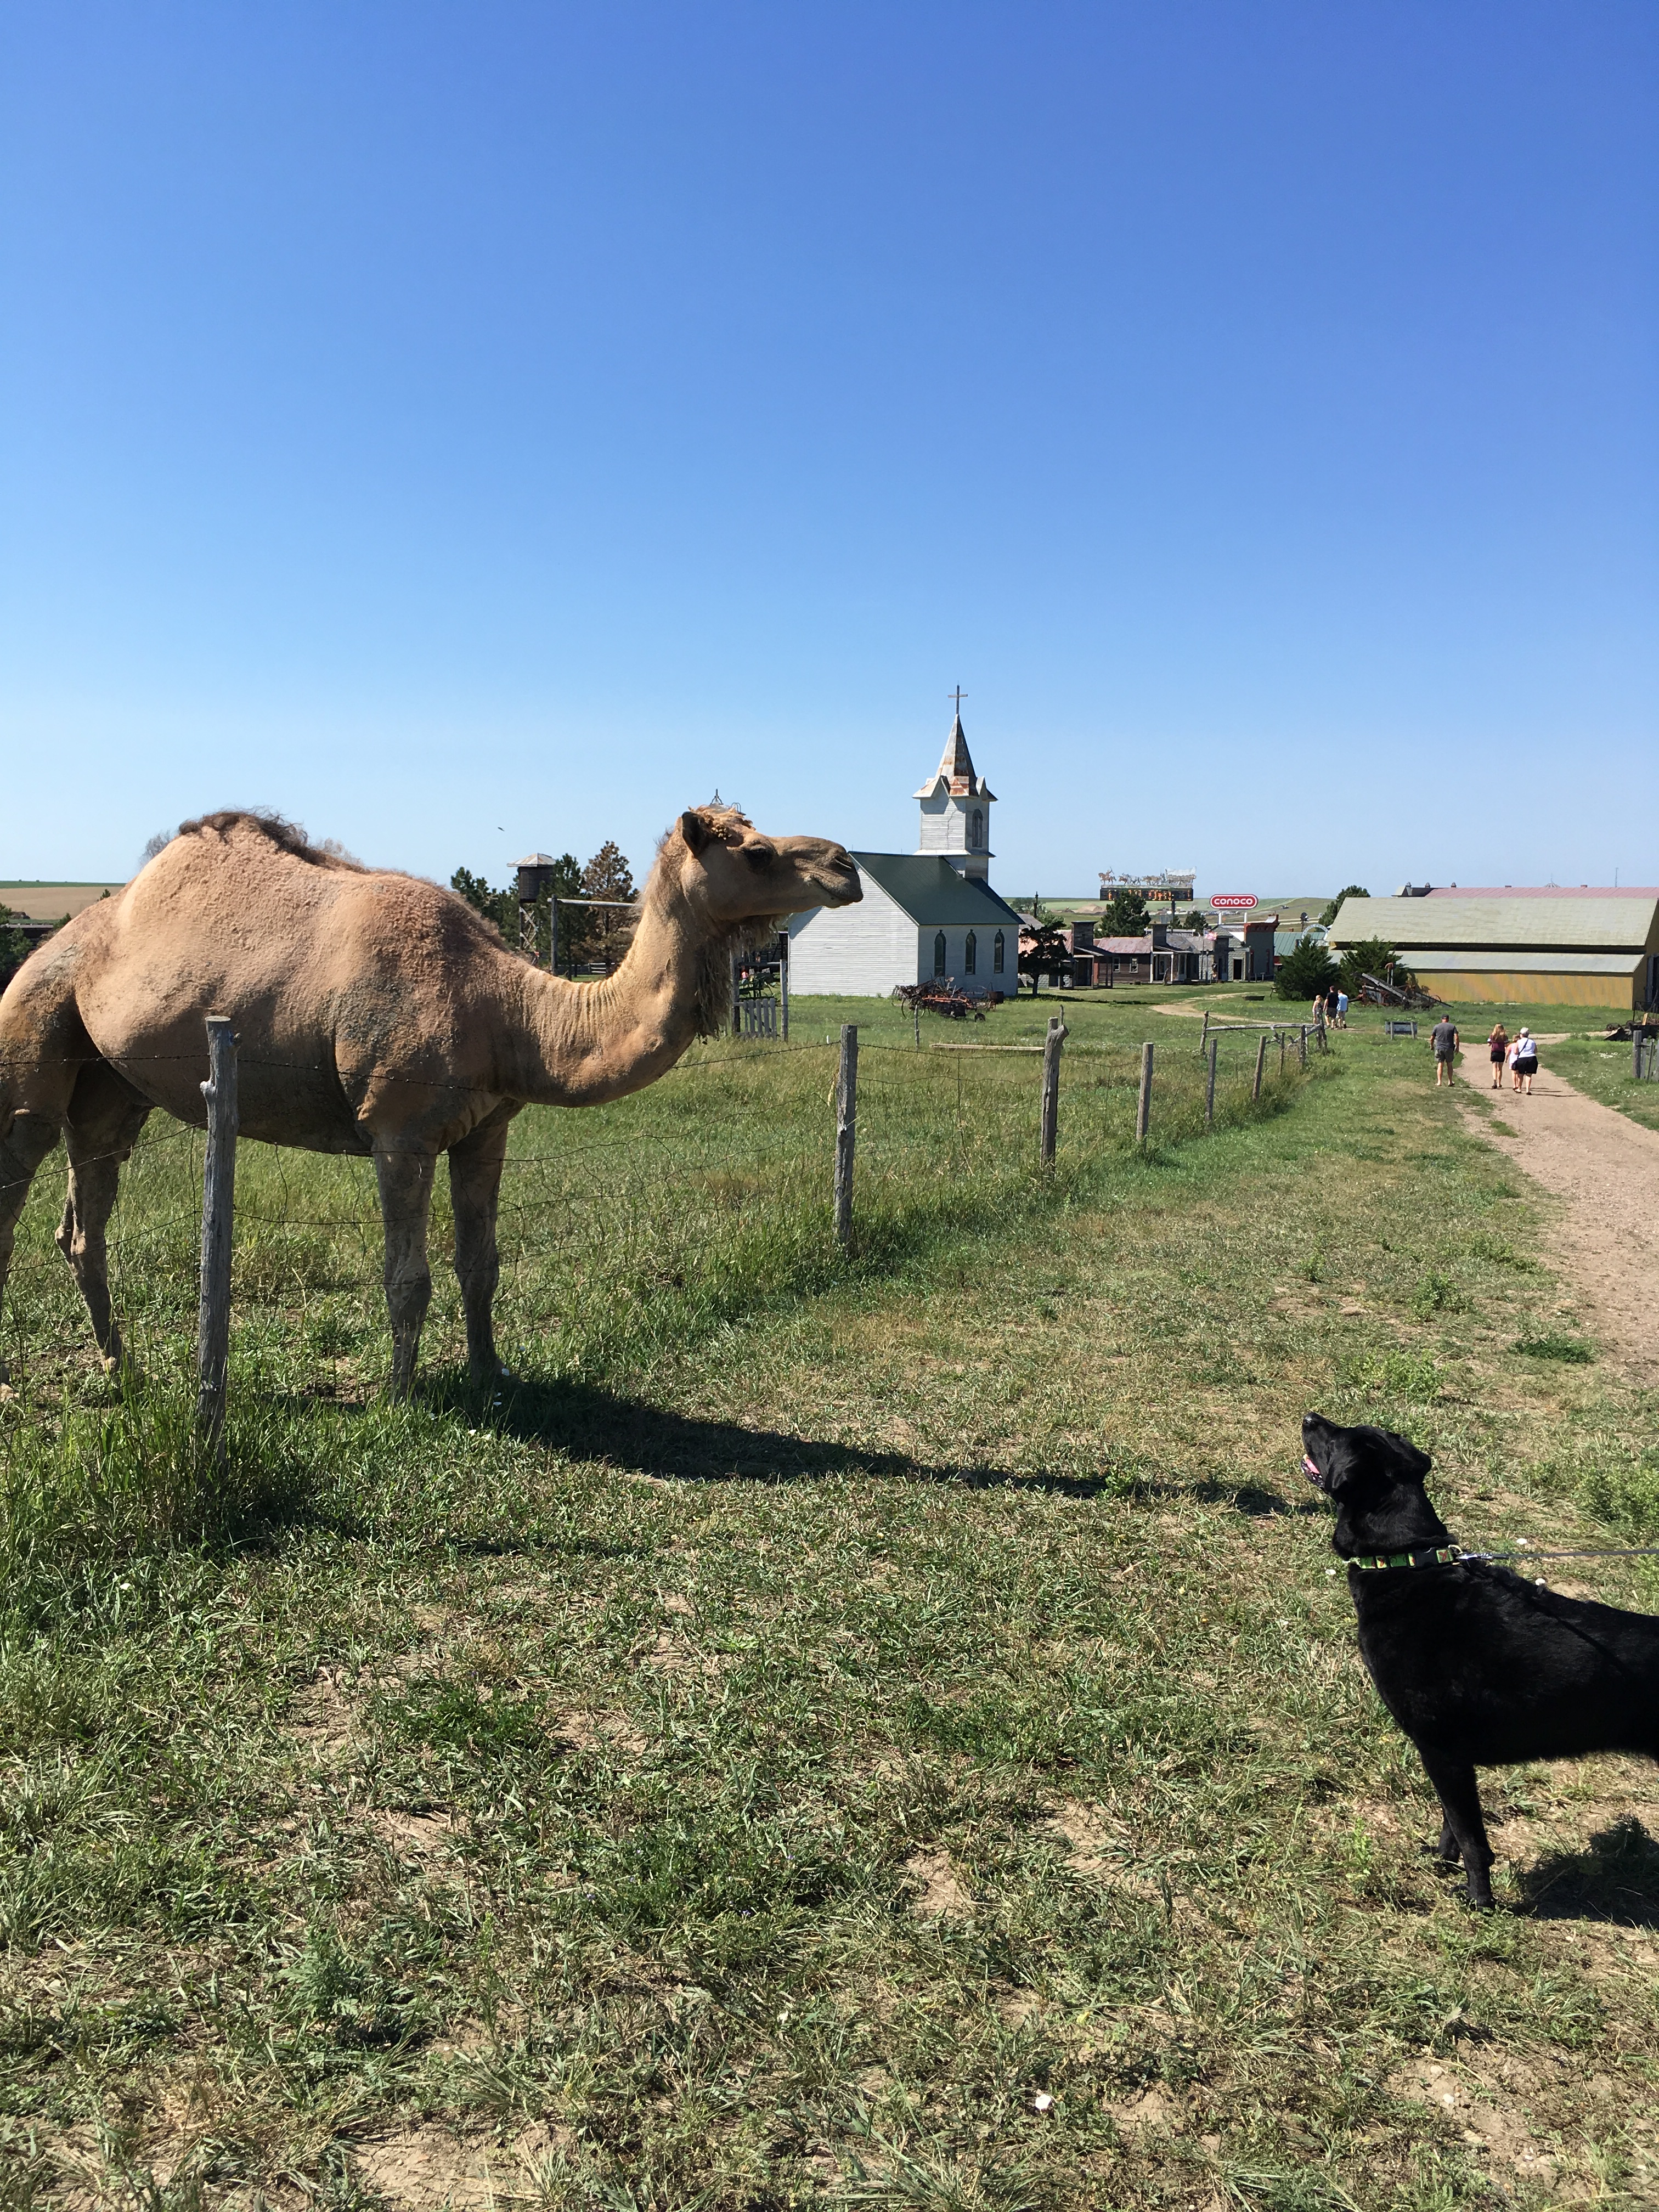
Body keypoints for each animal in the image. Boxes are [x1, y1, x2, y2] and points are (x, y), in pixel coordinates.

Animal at [0, 805, 860, 1395]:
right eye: (755, 851)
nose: (845, 864)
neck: (509, 1012)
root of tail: (74, 934)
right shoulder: (399, 1132)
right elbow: (406, 1277)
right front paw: (402, 1396)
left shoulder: (486, 1132)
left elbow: (482, 1263)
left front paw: (490, 1372)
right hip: (33, 1032)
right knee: (22, 1164)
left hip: (112, 1090)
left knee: (84, 1217)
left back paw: (123, 1368)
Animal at [1301, 1412, 1659, 1907]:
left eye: (1336, 1439)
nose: (1309, 1417)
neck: (1407, 1563)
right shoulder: (1453, 1761)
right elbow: (1452, 1824)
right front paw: (1441, 1861)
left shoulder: (1440, 1749)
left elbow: (1471, 1836)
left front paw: (1479, 1901)